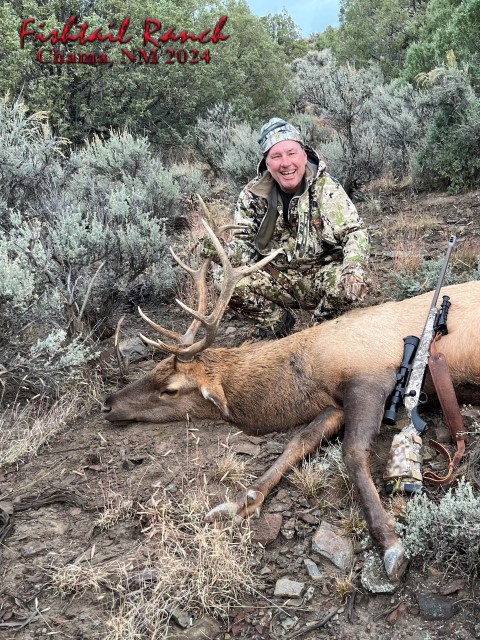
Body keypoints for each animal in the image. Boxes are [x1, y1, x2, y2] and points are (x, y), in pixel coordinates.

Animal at [102, 219, 480, 582]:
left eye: (170, 388)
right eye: (154, 369)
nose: (108, 403)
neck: (309, 373)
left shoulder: (370, 379)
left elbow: (353, 451)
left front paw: (390, 543)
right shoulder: (334, 405)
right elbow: (298, 442)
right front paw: (238, 502)